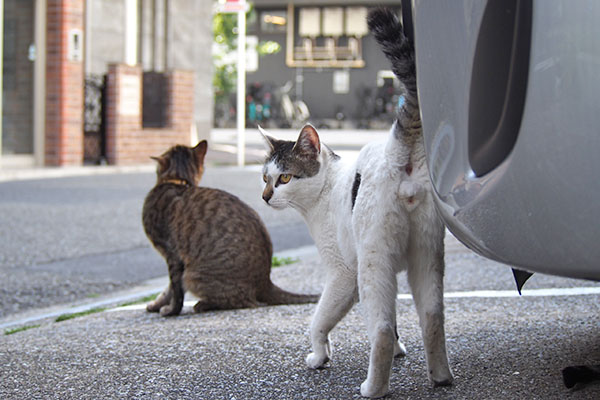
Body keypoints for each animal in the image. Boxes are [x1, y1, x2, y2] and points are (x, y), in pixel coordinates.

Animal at [142, 141, 318, 316]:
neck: (177, 182)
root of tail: (266, 282)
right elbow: (169, 289)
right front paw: (157, 304)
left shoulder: (172, 255)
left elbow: (175, 290)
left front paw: (170, 310)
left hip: (191, 276)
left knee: (244, 301)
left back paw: (203, 304)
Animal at [260, 7, 452, 398]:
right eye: (264, 177)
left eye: (284, 178)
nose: (265, 196)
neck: (326, 186)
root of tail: (396, 153)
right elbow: (398, 325)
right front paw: (401, 351)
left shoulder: (344, 274)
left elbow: (319, 319)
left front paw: (319, 355)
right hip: (426, 255)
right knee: (432, 317)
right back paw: (440, 376)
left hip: (373, 263)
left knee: (380, 329)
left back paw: (373, 387)